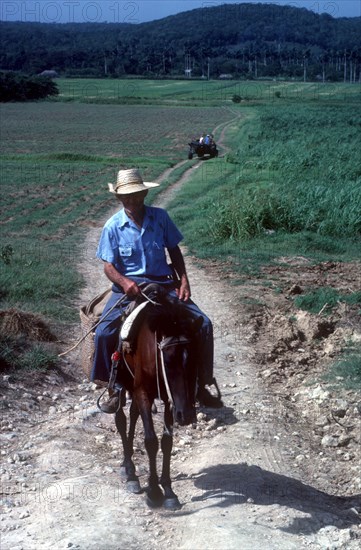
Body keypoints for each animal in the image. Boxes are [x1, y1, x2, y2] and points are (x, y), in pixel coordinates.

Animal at [114, 286, 201, 512]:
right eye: (168, 361)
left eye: (195, 358)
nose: (186, 415)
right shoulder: (144, 392)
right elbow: (151, 441)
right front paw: (153, 491)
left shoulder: (171, 400)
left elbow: (167, 442)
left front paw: (168, 491)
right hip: (120, 384)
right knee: (121, 419)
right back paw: (130, 472)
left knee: (133, 415)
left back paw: (129, 465)